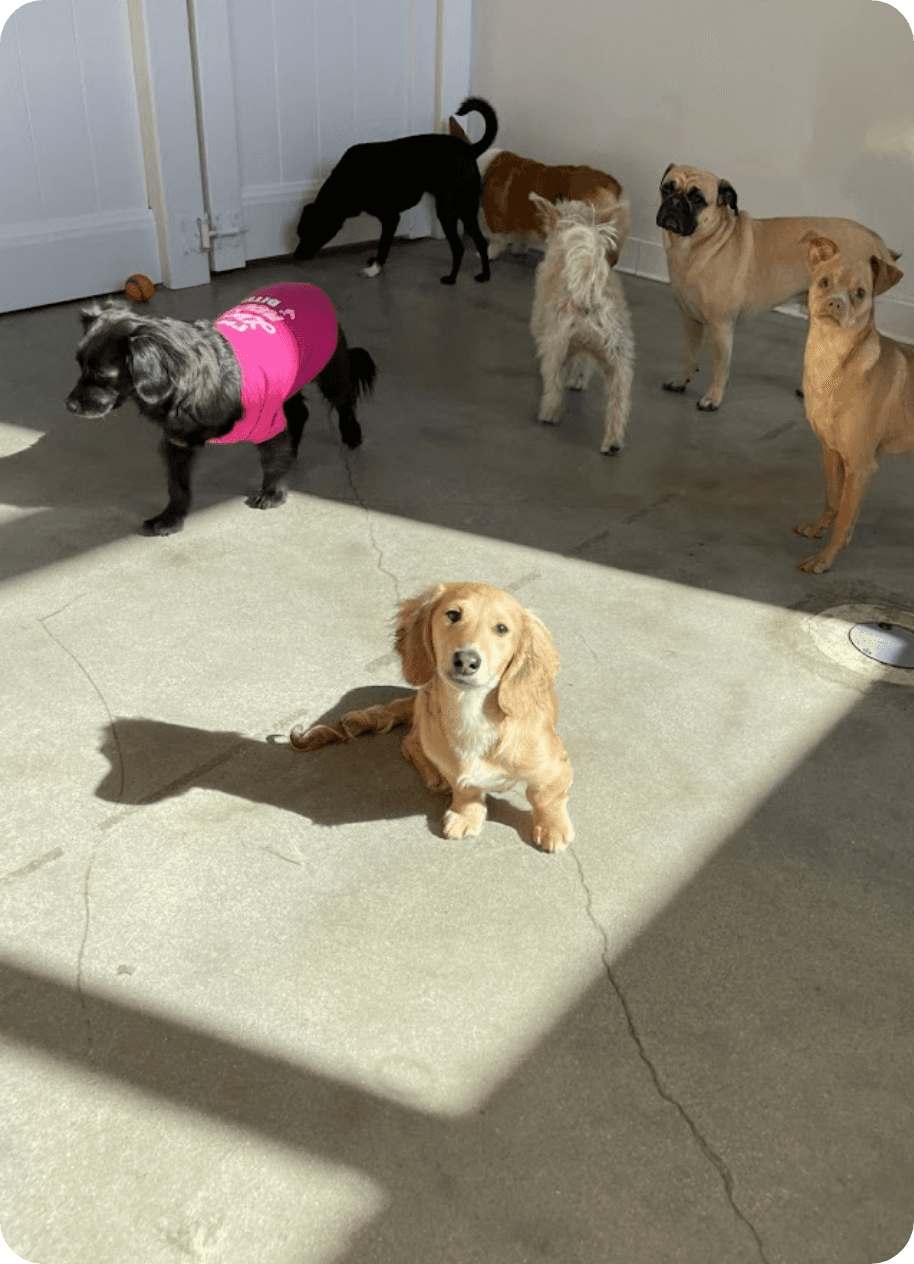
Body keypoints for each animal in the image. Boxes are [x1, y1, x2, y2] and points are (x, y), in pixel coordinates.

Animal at [65, 298, 374, 535]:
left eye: (101, 376)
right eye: (78, 366)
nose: (69, 406)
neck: (196, 384)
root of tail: (307, 286)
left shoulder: (269, 423)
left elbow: (272, 460)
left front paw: (272, 493)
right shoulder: (177, 441)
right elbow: (177, 485)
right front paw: (170, 518)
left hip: (331, 373)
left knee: (343, 402)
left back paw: (351, 434)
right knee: (299, 413)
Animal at [290, 581, 571, 849]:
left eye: (502, 629)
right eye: (453, 614)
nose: (465, 660)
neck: (471, 712)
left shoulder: (555, 767)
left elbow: (545, 796)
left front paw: (552, 829)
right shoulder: (454, 767)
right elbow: (466, 790)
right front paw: (466, 815)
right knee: (409, 742)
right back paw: (433, 774)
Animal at [294, 95, 500, 284]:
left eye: (311, 233)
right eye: (299, 233)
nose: (296, 255)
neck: (348, 181)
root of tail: (468, 149)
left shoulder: (391, 217)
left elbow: (383, 245)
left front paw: (374, 270)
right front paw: (375, 263)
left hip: (447, 211)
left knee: (458, 247)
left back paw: (451, 278)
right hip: (468, 209)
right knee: (481, 242)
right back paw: (485, 275)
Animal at [447, 117, 632, 267]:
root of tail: (613, 185)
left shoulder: (495, 220)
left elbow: (495, 240)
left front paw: (488, 254)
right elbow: (521, 236)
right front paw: (519, 250)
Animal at [793, 236, 910, 573]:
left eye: (860, 293)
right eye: (824, 282)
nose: (835, 303)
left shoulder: (862, 465)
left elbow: (845, 517)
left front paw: (824, 559)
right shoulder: (832, 452)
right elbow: (835, 500)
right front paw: (818, 528)